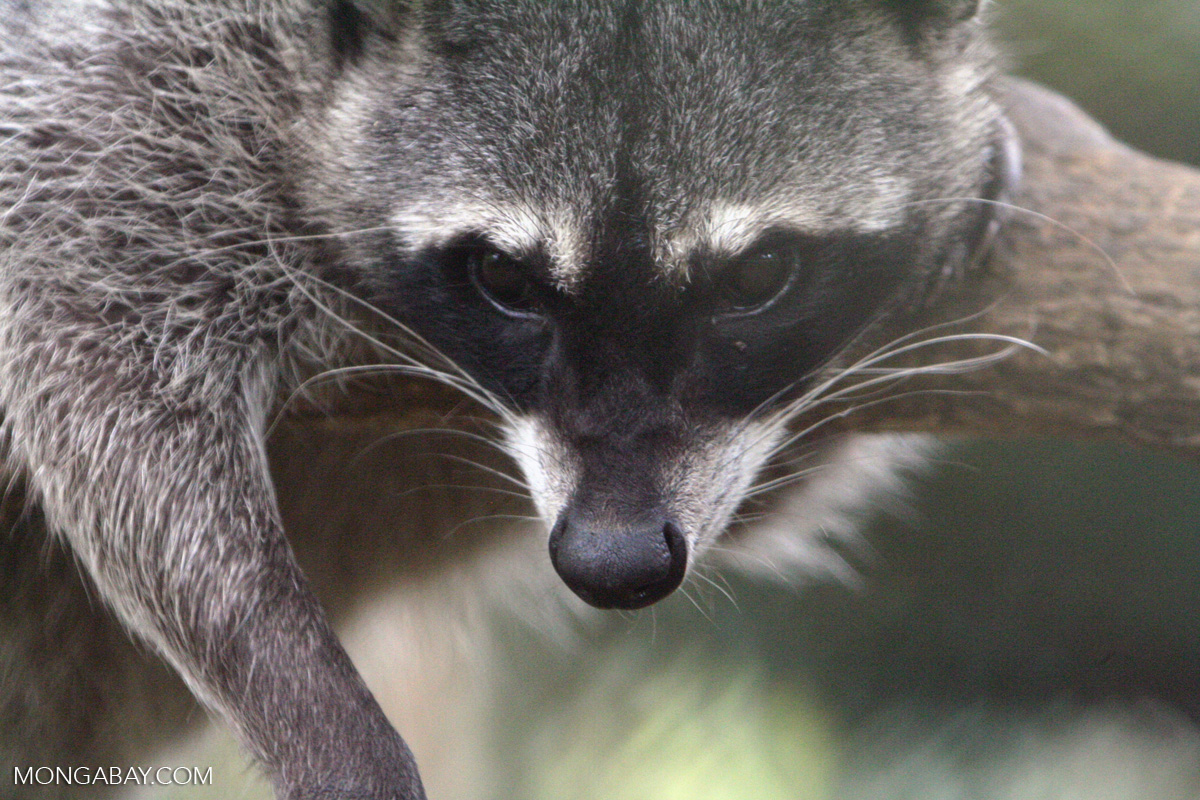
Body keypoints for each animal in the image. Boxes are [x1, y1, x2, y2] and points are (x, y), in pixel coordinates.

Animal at [0, 0, 1015, 797]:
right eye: (503, 278)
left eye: (759, 275)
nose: (614, 563)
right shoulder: (139, 85)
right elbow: (90, 342)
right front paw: (305, 697)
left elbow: (768, 493)